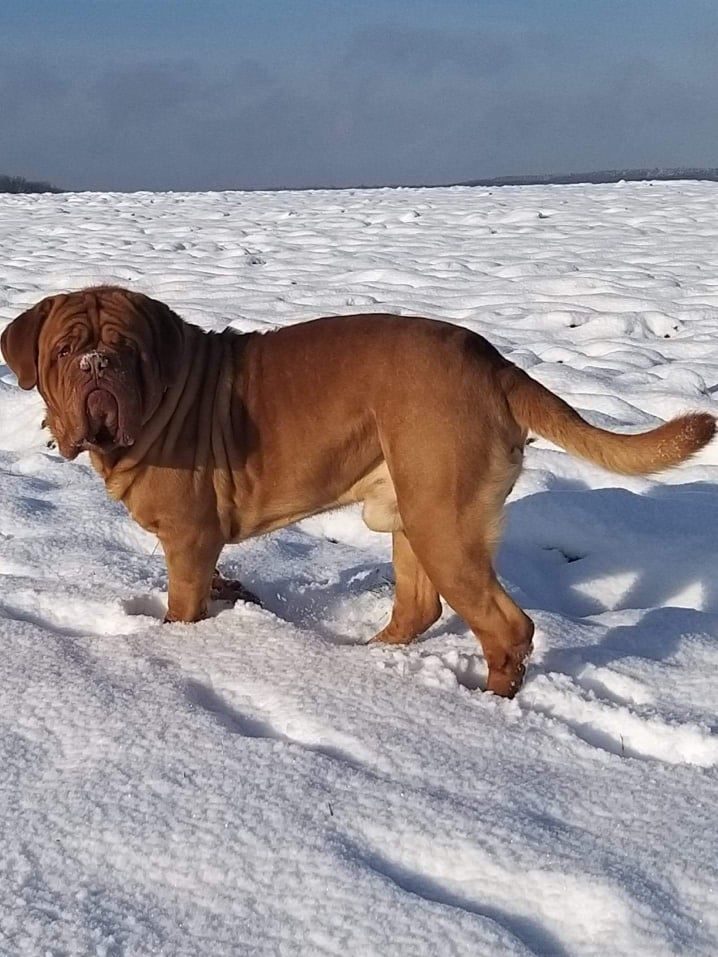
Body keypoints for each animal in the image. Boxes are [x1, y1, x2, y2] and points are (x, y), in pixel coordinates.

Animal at [2, 288, 716, 700]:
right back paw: (368, 659)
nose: (98, 367)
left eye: (124, 349)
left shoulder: (188, 538)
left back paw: (488, 701)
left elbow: (182, 606)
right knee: (418, 607)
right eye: (66, 350)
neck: (166, 394)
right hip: (413, 513)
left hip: (442, 520)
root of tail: (492, 362)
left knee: (506, 625)